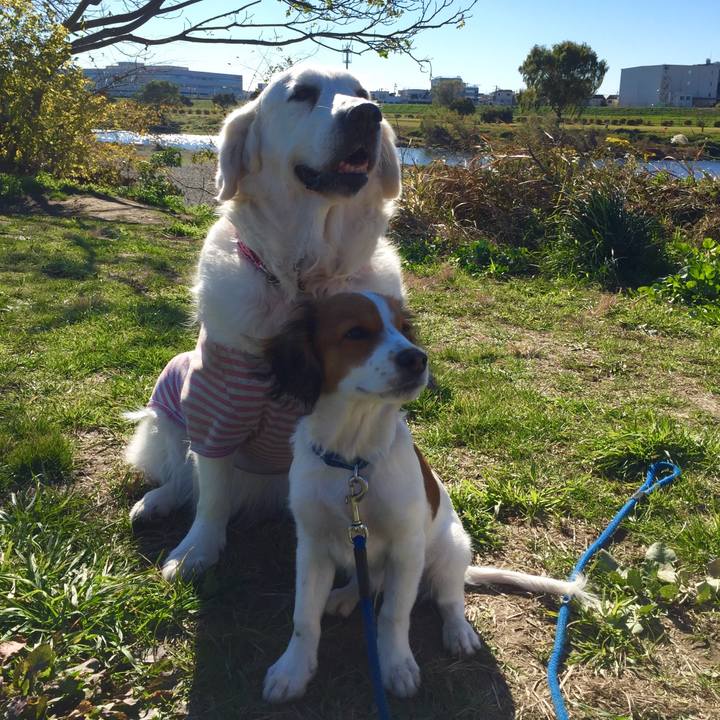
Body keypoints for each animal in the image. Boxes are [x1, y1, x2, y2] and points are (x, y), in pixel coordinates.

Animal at [124, 65, 405, 580]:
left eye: (363, 92)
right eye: (302, 94)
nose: (367, 115)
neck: (305, 278)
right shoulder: (216, 404)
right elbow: (211, 490)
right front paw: (197, 549)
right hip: (169, 395)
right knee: (183, 474)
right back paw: (157, 501)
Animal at [262, 291, 592, 702]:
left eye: (404, 329)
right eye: (355, 332)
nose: (417, 359)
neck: (353, 460)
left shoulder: (406, 547)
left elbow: (393, 614)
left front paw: (397, 665)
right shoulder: (312, 544)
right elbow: (304, 616)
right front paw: (292, 670)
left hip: (452, 548)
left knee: (449, 598)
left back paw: (458, 632)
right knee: (368, 581)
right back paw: (347, 595)